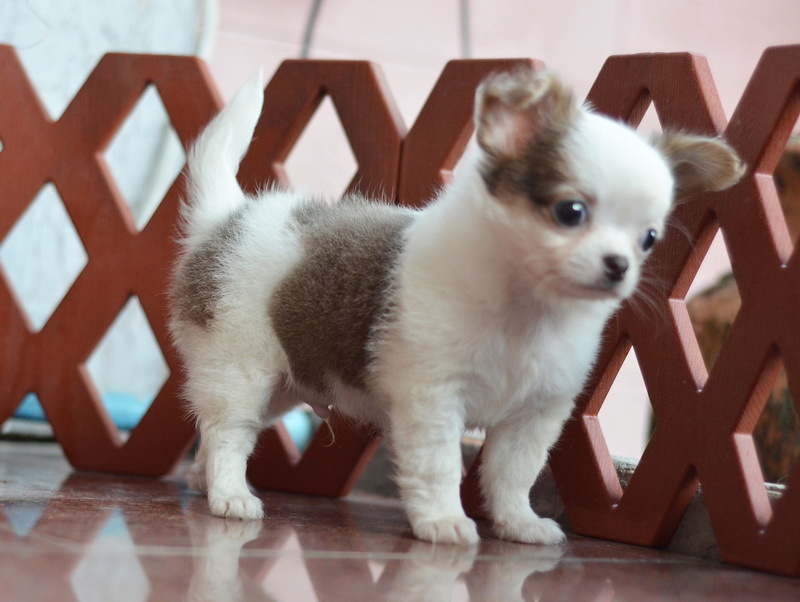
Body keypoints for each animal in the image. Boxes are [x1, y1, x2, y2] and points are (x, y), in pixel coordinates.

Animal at [169, 68, 744, 546]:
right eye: (570, 211)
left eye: (649, 238)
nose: (619, 265)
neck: (526, 313)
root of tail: (227, 217)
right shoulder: (433, 401)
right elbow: (439, 465)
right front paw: (443, 521)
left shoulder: (536, 414)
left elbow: (514, 473)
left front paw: (518, 523)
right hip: (240, 370)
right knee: (227, 432)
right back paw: (229, 495)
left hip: (281, 388)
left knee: (220, 432)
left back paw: (202, 480)